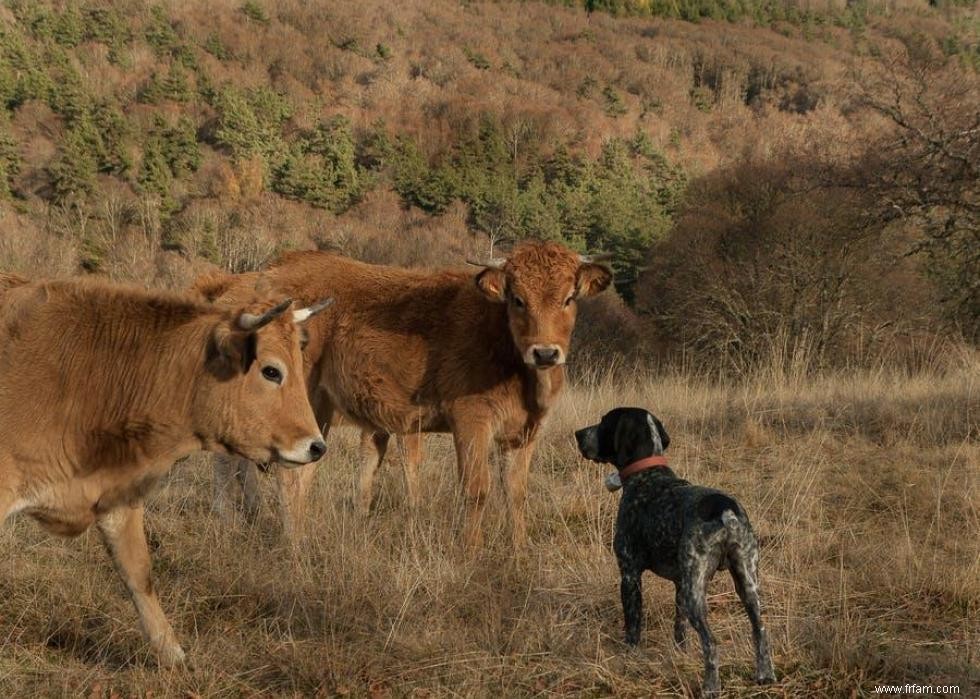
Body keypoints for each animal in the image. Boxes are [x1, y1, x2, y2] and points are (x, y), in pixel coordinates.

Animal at [200, 243, 612, 548]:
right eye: (517, 299)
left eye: (569, 298)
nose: (545, 353)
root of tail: (268, 274)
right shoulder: (470, 421)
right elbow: (476, 488)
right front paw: (471, 552)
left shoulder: (525, 431)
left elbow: (516, 491)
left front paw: (519, 551)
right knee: (279, 469)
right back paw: (286, 538)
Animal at [576, 408, 772, 696]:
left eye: (603, 422)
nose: (578, 434)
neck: (648, 474)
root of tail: (725, 511)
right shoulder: (680, 583)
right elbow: (679, 630)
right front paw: (680, 656)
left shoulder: (630, 575)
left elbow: (633, 627)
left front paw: (629, 658)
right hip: (746, 584)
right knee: (760, 630)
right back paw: (765, 675)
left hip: (696, 594)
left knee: (712, 643)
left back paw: (710, 687)